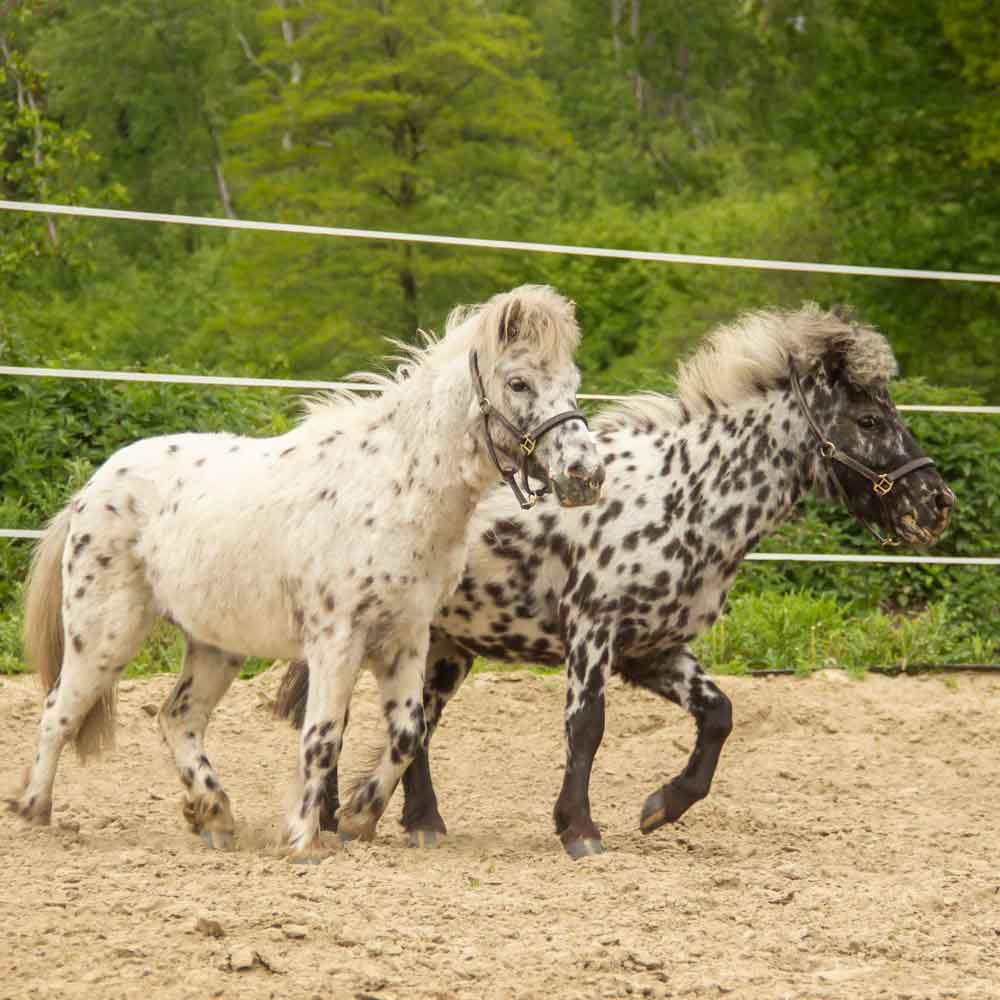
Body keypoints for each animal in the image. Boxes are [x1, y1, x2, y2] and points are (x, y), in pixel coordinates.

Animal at [278, 300, 956, 856]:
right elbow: (587, 727)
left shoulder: (652, 650)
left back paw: (418, 823)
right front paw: (579, 829)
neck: (686, 497)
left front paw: (662, 807)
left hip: (445, 647)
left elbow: (719, 714)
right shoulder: (592, 631)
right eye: (868, 420)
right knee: (344, 715)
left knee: (416, 723)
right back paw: (336, 820)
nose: (937, 503)